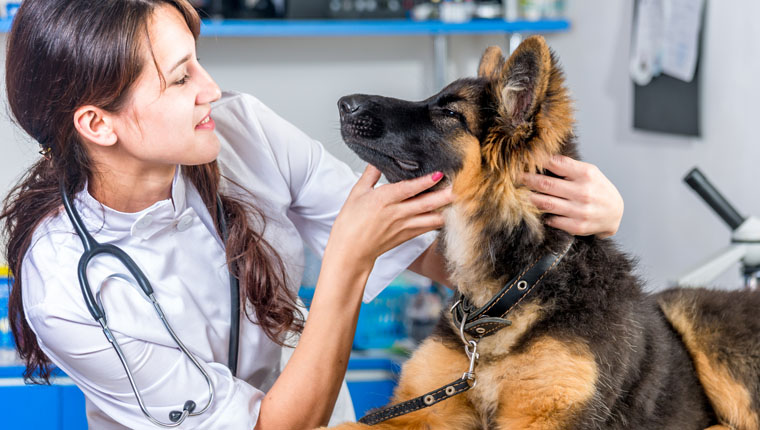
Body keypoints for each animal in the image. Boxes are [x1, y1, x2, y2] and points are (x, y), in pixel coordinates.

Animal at [326, 35, 760, 428]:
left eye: (450, 114)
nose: (344, 102)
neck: (513, 289)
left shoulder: (545, 417)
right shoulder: (423, 409)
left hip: (695, 316)